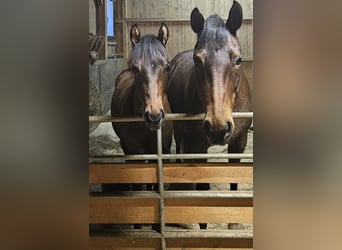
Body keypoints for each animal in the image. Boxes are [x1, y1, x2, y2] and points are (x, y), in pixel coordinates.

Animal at [167, 0, 252, 199]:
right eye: (197, 60)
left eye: (238, 59)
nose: (218, 128)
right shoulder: (198, 145)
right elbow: (203, 187)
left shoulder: (239, 142)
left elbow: (234, 181)